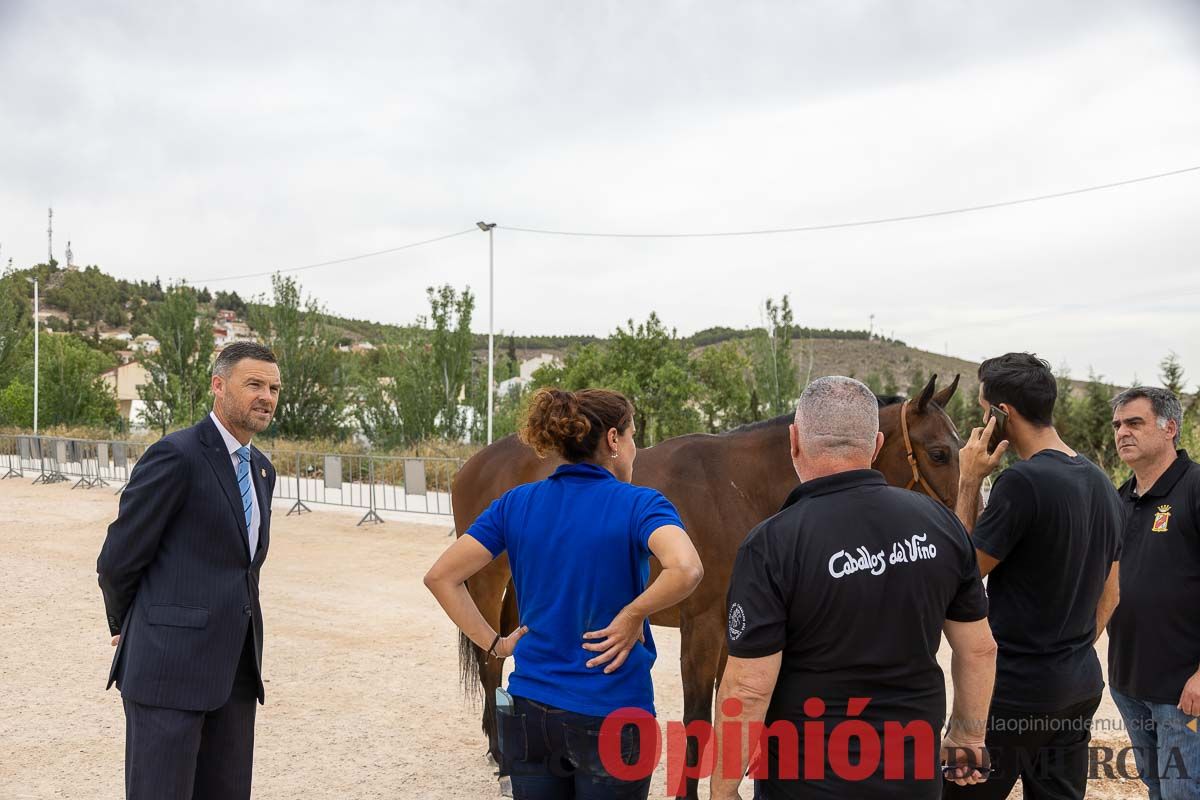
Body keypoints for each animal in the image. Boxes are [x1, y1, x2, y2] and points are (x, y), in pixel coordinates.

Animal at [451, 376, 964, 800]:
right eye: (939, 452)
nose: (957, 532)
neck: (737, 486)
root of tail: (474, 464)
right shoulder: (703, 626)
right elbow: (698, 721)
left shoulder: (735, 631)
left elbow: (727, 714)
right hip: (486, 581)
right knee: (490, 660)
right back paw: (501, 759)